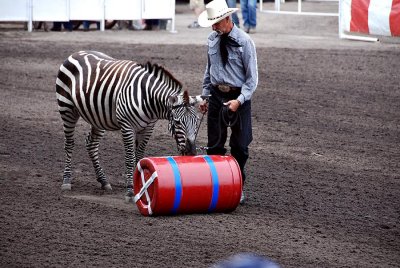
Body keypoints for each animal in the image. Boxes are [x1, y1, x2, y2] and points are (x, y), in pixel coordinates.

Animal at [55, 50, 203, 201]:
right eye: (177, 122)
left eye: (197, 121)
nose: (191, 152)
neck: (149, 99)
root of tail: (78, 52)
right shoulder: (127, 126)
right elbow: (130, 158)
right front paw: (130, 191)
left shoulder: (148, 128)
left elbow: (139, 157)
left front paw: (140, 184)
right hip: (67, 109)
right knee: (69, 143)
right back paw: (66, 180)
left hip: (98, 117)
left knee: (91, 144)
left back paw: (103, 181)